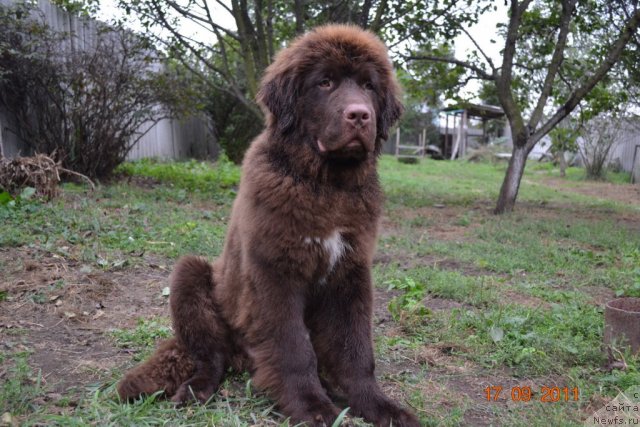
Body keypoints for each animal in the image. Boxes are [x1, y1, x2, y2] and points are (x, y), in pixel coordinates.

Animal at [118, 24, 422, 427]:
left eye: (368, 86)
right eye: (325, 82)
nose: (360, 115)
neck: (326, 185)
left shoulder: (351, 272)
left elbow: (356, 349)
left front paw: (379, 406)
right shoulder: (275, 271)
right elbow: (293, 349)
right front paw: (312, 407)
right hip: (192, 276)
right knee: (209, 356)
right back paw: (196, 390)